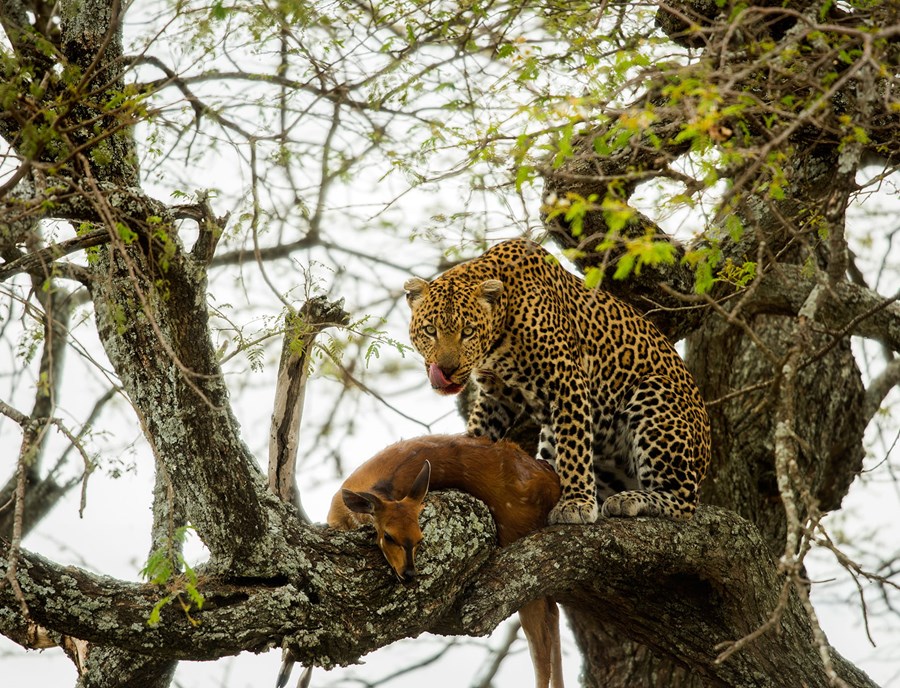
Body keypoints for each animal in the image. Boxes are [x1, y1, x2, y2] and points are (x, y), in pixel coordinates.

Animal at [404, 237, 711, 525]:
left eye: (468, 331)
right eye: (430, 330)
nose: (447, 369)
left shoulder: (566, 379)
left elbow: (574, 447)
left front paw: (576, 503)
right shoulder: (496, 393)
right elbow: (480, 432)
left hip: (654, 393)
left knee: (684, 500)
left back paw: (629, 500)